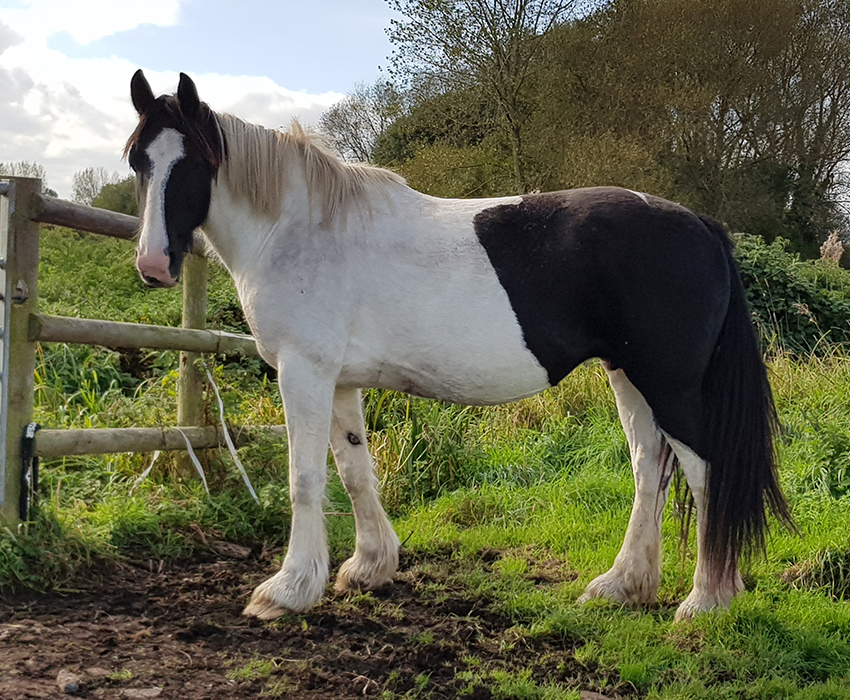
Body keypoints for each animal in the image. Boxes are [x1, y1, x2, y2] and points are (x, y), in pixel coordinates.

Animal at [129, 69, 792, 616]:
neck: (301, 230)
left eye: (194, 163)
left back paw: (706, 600)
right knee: (649, 465)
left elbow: (306, 479)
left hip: (670, 383)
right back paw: (623, 585)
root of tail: (701, 224)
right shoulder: (339, 381)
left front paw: (287, 590)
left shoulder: (304, 372)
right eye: (138, 160)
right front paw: (368, 567)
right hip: (627, 373)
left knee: (704, 471)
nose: (154, 265)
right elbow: (354, 470)